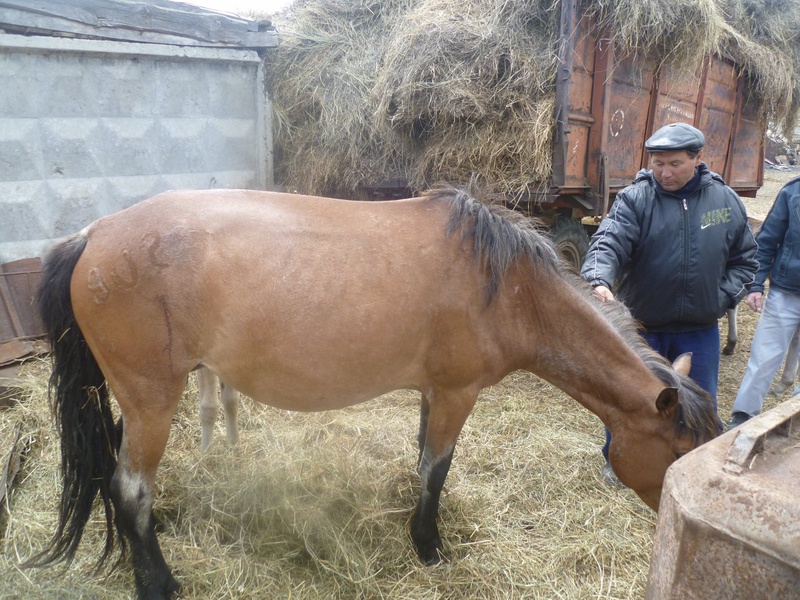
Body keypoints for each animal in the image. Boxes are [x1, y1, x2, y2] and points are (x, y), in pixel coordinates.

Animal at [28, 186, 720, 596]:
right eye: (677, 450)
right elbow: (436, 467)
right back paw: (158, 581)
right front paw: (429, 547)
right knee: (129, 489)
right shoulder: (457, 392)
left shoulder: (432, 392)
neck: (509, 288)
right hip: (153, 399)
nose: (667, 518)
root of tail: (91, 236)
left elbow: (422, 463)